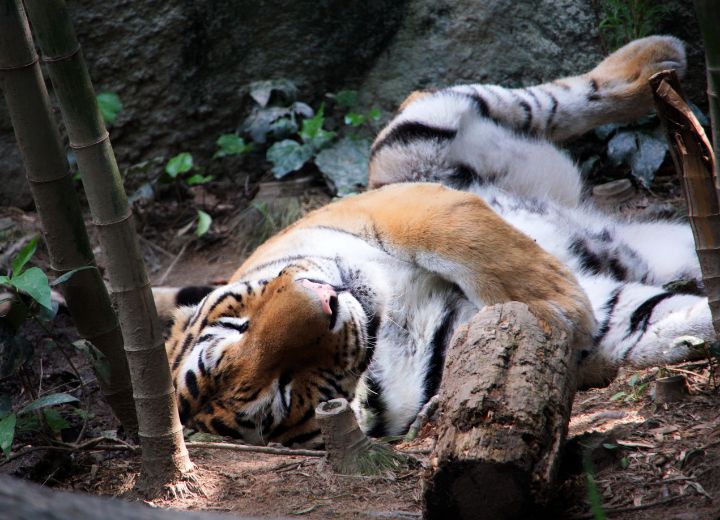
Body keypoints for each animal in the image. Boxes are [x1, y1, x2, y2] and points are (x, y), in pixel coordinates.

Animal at [158, 36, 708, 448]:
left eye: (239, 324)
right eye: (282, 392)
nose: (325, 302)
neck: (387, 325)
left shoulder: (392, 207)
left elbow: (460, 235)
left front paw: (559, 301)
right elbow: (654, 320)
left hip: (409, 137)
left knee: (540, 100)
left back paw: (658, 58)